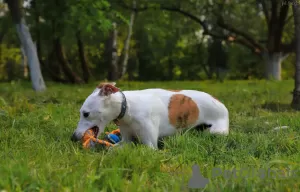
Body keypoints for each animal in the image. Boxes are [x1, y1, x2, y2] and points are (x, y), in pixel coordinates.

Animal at [71, 82, 230, 149]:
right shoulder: (126, 140)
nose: (73, 137)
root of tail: (219, 101)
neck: (129, 108)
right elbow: (112, 148)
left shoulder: (150, 146)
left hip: (216, 131)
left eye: (85, 114)